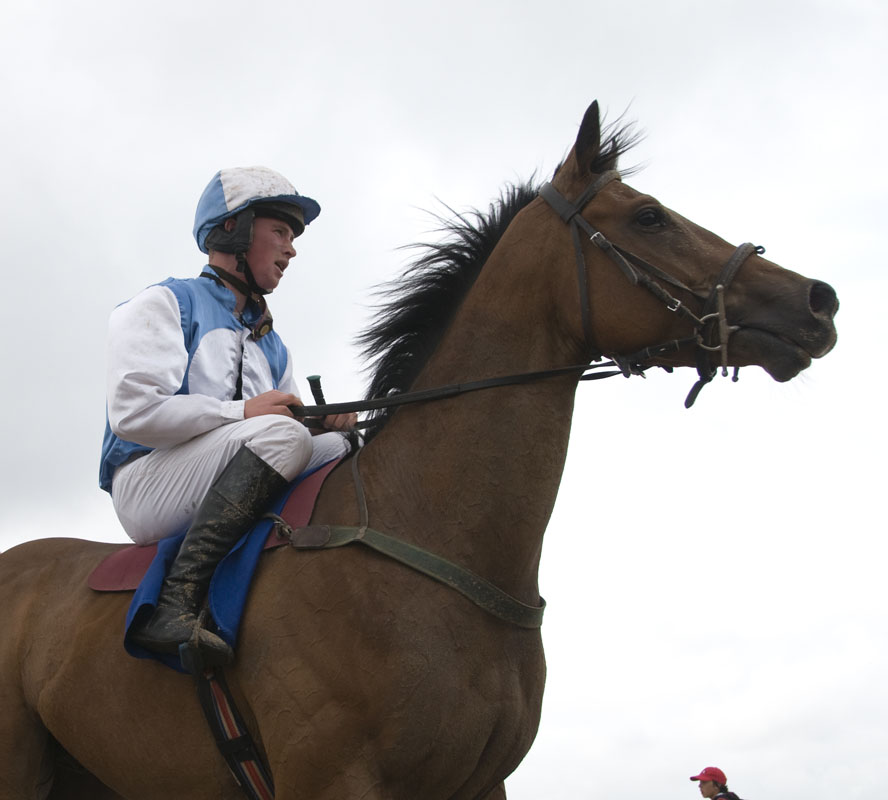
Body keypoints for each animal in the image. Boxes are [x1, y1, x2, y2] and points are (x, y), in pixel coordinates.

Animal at [0, 101, 836, 800]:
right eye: (650, 216)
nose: (816, 301)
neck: (434, 535)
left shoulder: (480, 783)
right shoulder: (332, 779)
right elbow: (168, 399)